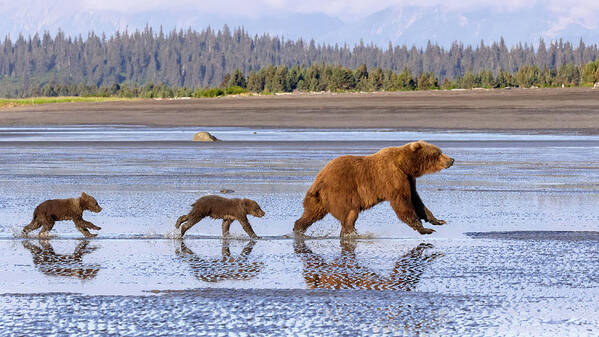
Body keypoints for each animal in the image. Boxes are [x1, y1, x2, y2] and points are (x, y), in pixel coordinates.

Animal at [296, 141, 454, 236]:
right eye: (438, 153)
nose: (451, 160)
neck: (404, 165)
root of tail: (319, 179)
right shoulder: (393, 177)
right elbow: (402, 202)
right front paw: (424, 229)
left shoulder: (409, 179)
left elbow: (416, 200)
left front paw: (438, 220)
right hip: (341, 192)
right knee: (350, 214)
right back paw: (351, 232)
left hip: (320, 199)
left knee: (311, 214)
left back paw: (298, 229)